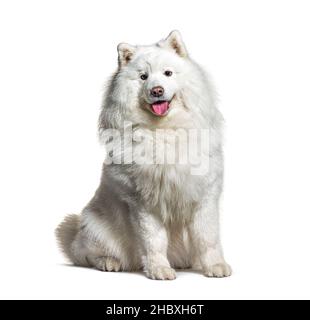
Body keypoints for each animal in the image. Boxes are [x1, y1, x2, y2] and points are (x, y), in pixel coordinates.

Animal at [55, 30, 231, 280]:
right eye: (143, 77)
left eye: (168, 73)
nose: (156, 90)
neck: (164, 131)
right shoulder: (145, 203)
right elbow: (153, 242)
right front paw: (159, 270)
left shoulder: (204, 196)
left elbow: (208, 237)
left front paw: (215, 266)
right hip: (95, 227)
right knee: (86, 254)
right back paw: (109, 262)